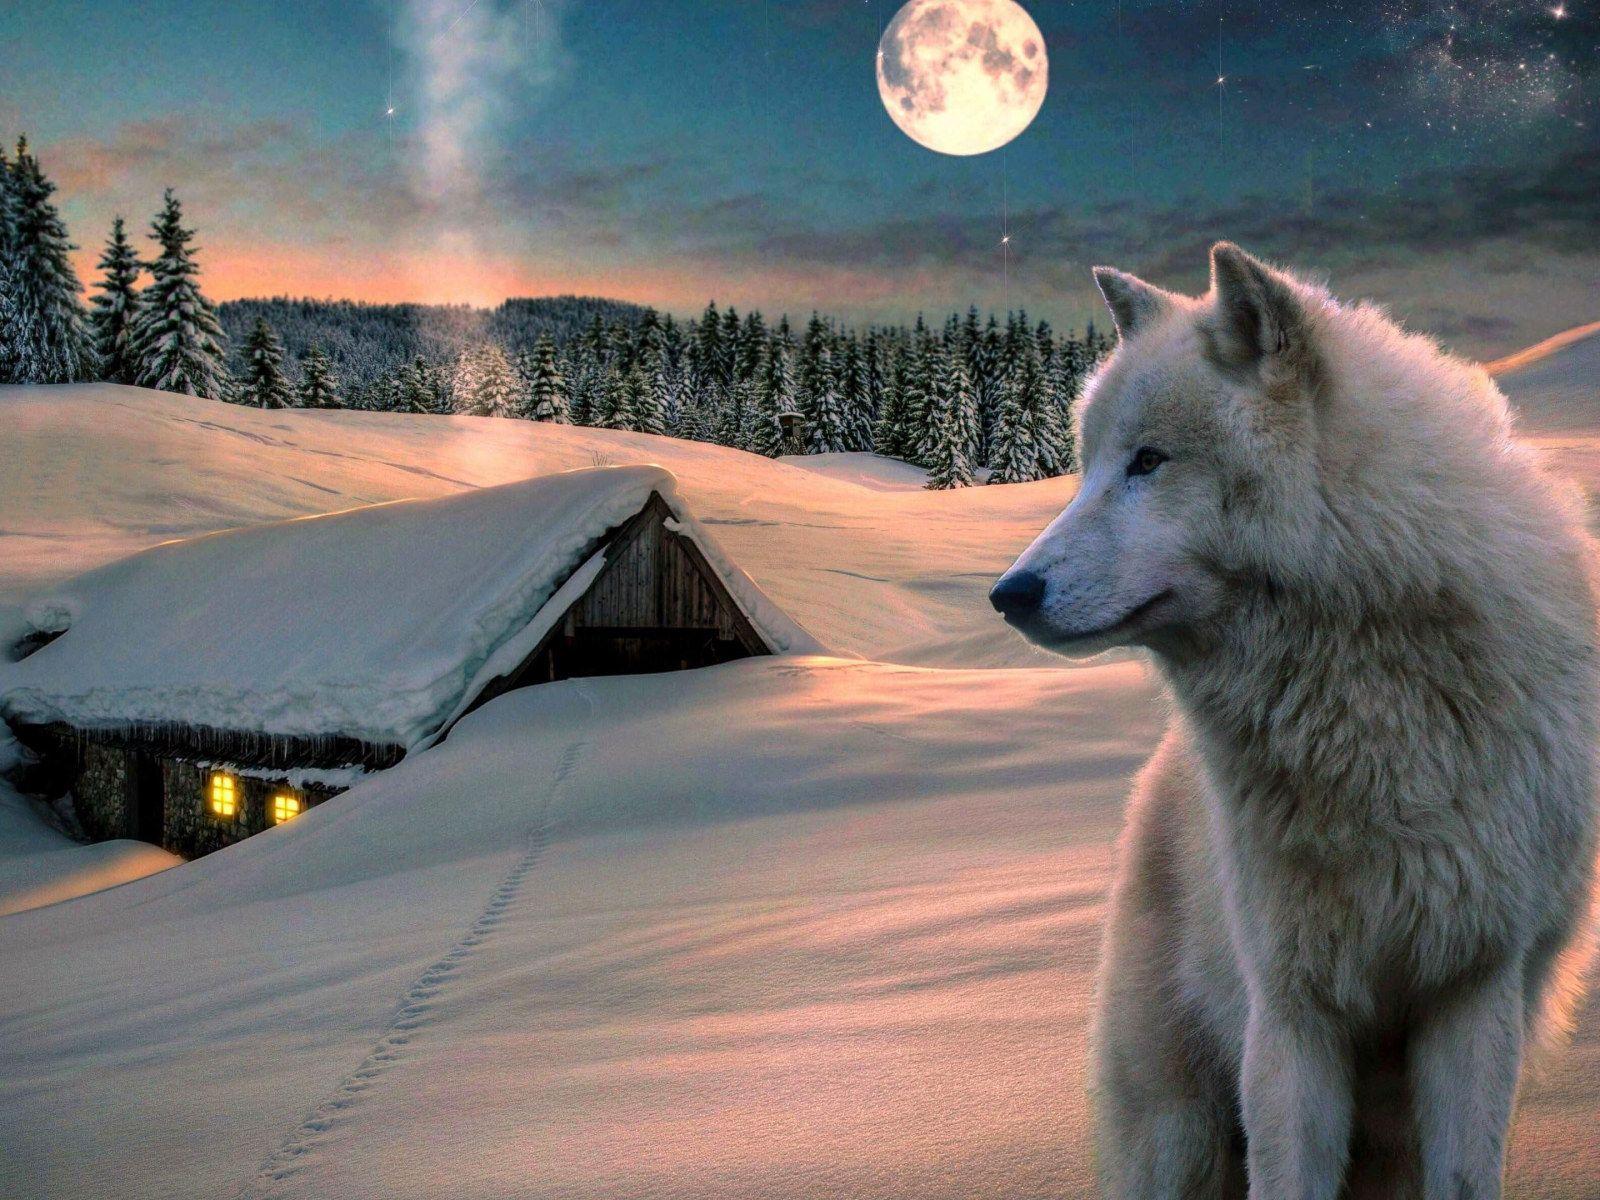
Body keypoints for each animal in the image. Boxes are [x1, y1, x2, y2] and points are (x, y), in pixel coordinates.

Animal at [991, 243, 1600, 1199]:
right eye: (1087, 466)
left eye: (1149, 461)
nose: (1009, 593)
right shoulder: (1290, 1011)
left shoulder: (1474, 989)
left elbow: (1467, 1175)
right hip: (1178, 1132)